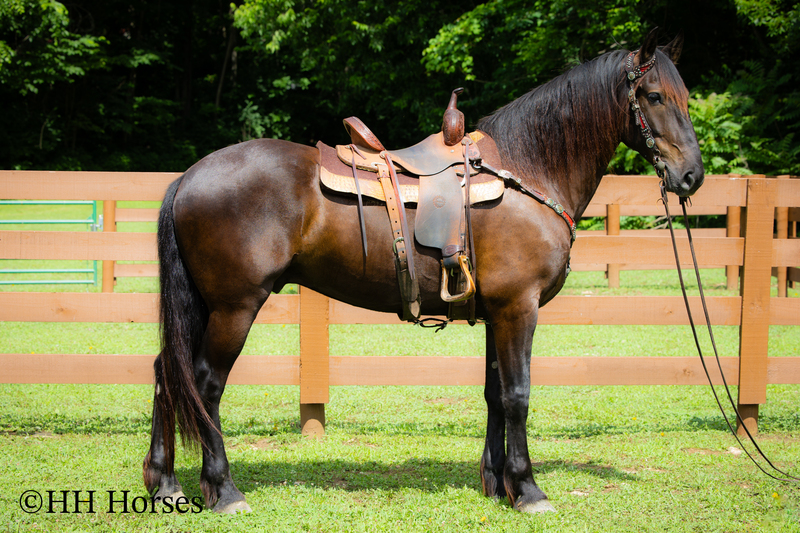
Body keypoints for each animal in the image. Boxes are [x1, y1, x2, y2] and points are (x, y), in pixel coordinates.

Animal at [142, 30, 704, 514]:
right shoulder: (519, 309)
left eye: (685, 98)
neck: (527, 170)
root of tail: (190, 176)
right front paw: (527, 489)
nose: (691, 177)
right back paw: (224, 489)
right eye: (654, 96)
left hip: (205, 306)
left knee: (167, 374)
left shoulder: (498, 313)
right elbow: (518, 395)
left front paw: (496, 483)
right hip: (235, 307)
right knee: (204, 384)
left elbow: (495, 394)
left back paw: (165, 483)